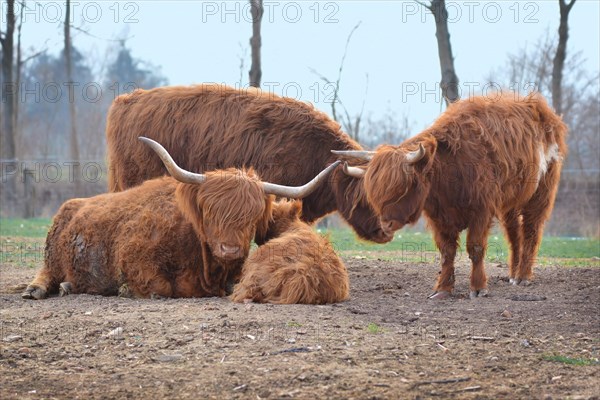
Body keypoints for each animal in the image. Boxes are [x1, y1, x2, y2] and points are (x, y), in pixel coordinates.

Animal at [21, 138, 338, 300]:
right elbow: (161, 288)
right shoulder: (134, 259)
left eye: (252, 215)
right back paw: (37, 290)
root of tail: (73, 203)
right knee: (46, 273)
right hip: (52, 255)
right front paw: (124, 289)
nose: (230, 249)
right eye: (210, 211)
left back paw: (69, 286)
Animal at [332, 94, 568, 298]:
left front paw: (478, 288)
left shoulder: (481, 211)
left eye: (404, 188)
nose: (386, 225)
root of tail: (540, 108)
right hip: (511, 200)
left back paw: (524, 276)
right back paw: (513, 274)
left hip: (541, 191)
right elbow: (447, 252)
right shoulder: (439, 217)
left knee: (531, 229)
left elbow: (475, 248)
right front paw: (443, 289)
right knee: (513, 233)